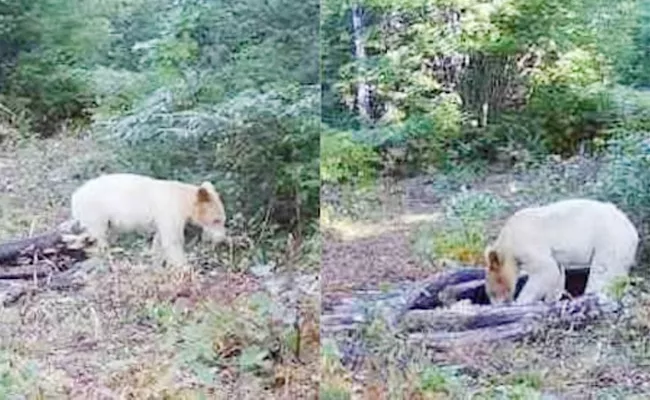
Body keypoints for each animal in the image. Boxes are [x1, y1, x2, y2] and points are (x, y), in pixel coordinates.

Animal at [71, 173, 227, 268]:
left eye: (222, 220)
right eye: (216, 220)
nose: (221, 239)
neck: (184, 200)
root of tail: (75, 196)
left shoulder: (163, 218)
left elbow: (159, 239)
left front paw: (156, 261)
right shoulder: (169, 211)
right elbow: (172, 240)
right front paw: (184, 266)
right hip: (96, 212)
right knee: (99, 236)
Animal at [484, 198, 636, 304]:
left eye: (492, 292)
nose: (496, 304)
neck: (507, 239)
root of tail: (632, 231)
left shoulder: (526, 243)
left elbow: (546, 270)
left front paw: (521, 301)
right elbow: (556, 273)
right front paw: (551, 299)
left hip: (608, 240)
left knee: (601, 272)